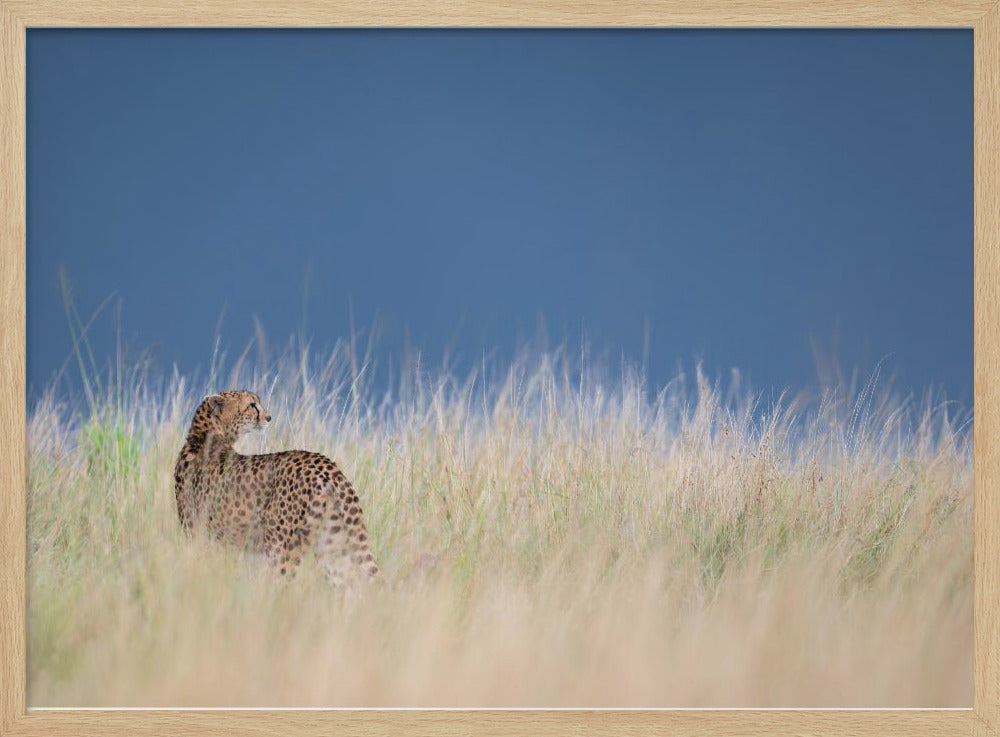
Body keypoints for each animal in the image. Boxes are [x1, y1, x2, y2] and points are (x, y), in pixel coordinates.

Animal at [173, 390, 379, 586]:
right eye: (252, 405)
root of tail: (326, 465)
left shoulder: (201, 536)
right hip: (333, 544)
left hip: (281, 547)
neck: (204, 437)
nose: (269, 417)